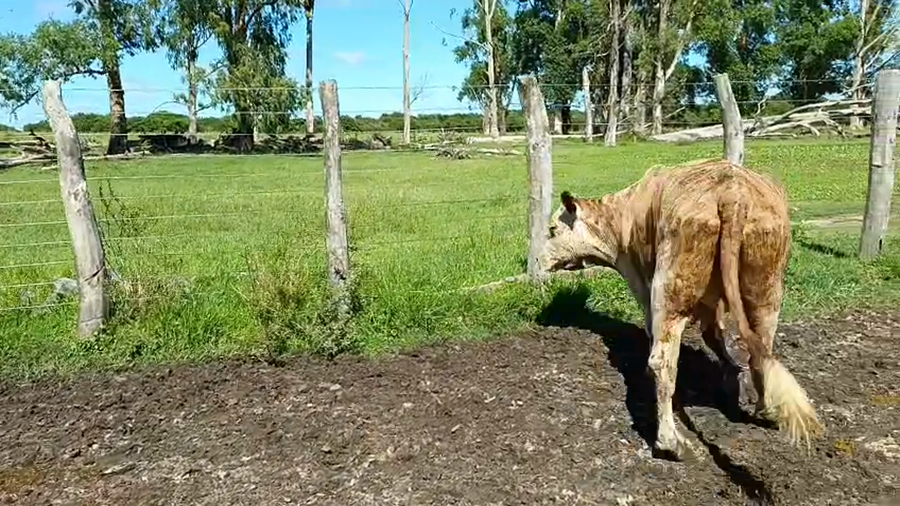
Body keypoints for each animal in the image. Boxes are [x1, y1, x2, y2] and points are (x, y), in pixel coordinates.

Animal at [540, 158, 823, 461]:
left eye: (553, 230)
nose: (539, 259)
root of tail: (732, 192)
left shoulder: (644, 284)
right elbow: (714, 335)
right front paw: (730, 370)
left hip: (668, 291)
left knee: (662, 360)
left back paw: (669, 442)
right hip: (766, 291)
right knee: (761, 347)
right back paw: (764, 409)